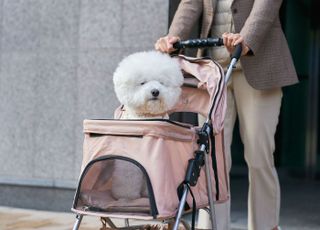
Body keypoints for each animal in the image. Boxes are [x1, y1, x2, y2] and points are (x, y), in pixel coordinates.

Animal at [111, 50, 184, 199]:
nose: (155, 91)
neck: (147, 116)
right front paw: (127, 195)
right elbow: (129, 174)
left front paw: (148, 194)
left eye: (161, 82)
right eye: (142, 82)